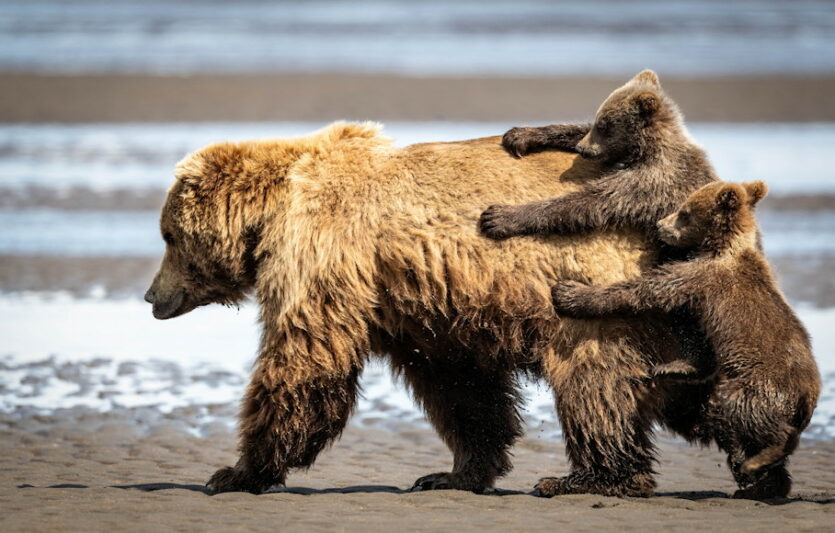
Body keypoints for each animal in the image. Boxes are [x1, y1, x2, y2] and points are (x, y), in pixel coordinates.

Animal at [145, 120, 704, 494]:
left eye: (168, 235)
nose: (151, 296)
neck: (272, 213)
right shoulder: (425, 308)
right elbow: (461, 388)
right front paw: (455, 472)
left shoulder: (322, 253)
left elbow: (303, 359)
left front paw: (236, 472)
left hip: (590, 285)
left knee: (593, 380)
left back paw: (595, 476)